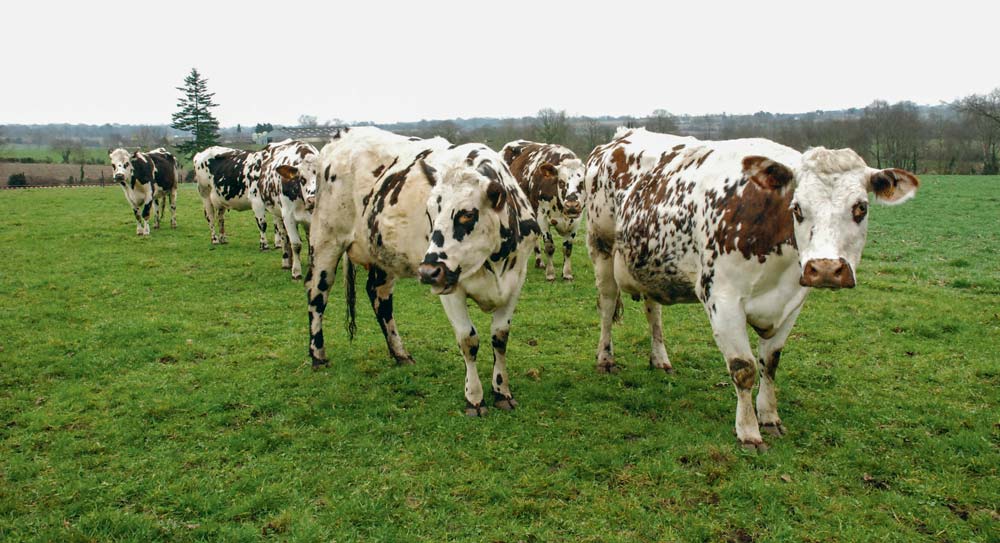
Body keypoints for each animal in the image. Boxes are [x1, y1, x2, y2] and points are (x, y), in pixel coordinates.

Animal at [258, 140, 320, 278]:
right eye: (302, 179)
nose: (312, 201)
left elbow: (312, 242)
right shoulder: (288, 216)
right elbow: (296, 244)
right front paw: (296, 271)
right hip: (277, 215)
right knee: (284, 236)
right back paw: (287, 261)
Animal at [292, 127, 544, 416]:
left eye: (467, 214)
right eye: (430, 212)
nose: (427, 271)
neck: (493, 261)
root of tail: (343, 135)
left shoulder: (516, 281)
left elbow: (500, 337)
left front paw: (502, 391)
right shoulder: (450, 288)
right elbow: (468, 340)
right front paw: (474, 398)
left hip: (382, 252)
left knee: (379, 296)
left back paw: (399, 353)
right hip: (326, 240)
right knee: (317, 293)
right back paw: (318, 355)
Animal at [500, 140, 584, 280]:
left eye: (582, 183)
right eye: (561, 182)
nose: (572, 205)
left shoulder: (576, 220)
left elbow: (568, 248)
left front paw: (567, 273)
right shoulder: (542, 217)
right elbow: (549, 246)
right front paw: (550, 274)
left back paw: (539, 262)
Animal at [584, 126, 920, 450]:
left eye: (860, 208)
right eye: (797, 208)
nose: (825, 268)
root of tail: (621, 136)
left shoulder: (792, 303)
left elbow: (770, 363)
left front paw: (769, 417)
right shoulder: (721, 299)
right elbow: (743, 368)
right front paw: (748, 431)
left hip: (646, 262)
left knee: (653, 311)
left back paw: (660, 359)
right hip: (601, 247)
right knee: (607, 306)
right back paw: (606, 359)